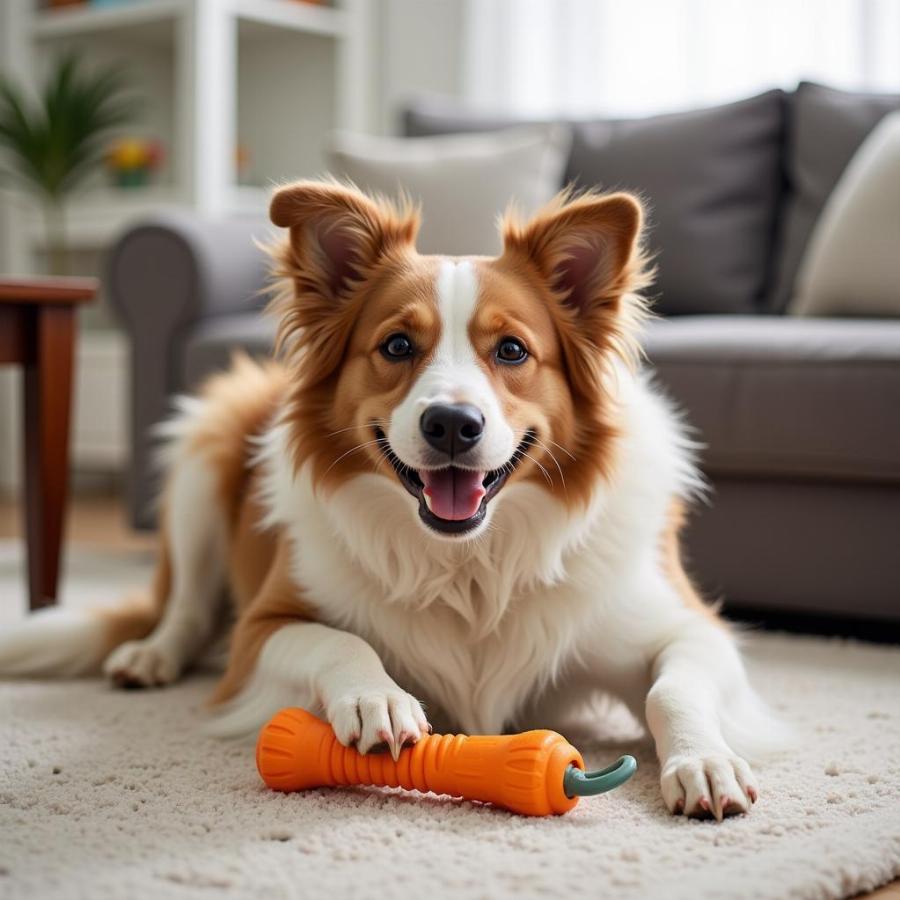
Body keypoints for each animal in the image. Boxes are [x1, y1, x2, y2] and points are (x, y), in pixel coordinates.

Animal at [0, 179, 780, 820]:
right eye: (398, 345)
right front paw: (374, 696)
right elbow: (338, 638)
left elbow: (670, 688)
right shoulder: (261, 628)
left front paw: (704, 762)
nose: (452, 424)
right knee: (185, 607)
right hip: (202, 445)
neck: (470, 561)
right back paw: (149, 656)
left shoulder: (685, 625)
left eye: (513, 351)